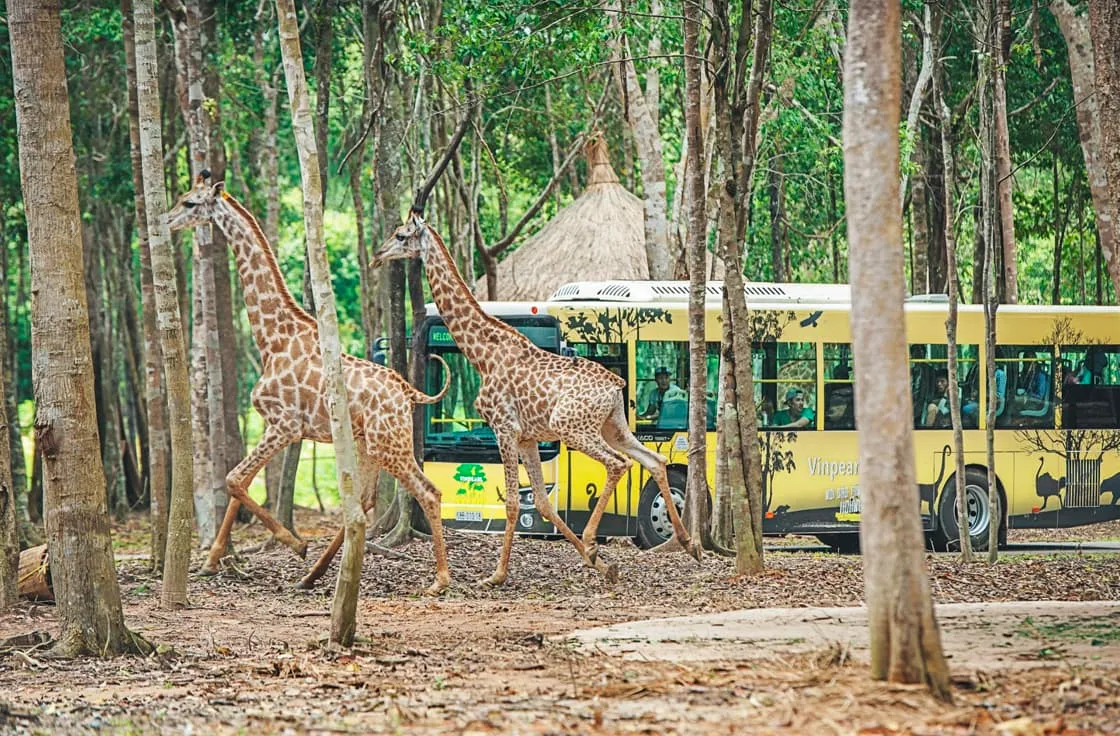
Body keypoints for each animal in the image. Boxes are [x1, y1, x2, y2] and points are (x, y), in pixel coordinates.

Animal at [164, 173, 450, 595]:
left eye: (189, 203)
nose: (166, 221)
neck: (272, 339)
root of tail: (407, 392)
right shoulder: (276, 426)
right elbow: (238, 482)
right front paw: (213, 560)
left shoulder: (285, 425)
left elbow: (234, 478)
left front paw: (295, 543)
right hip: (370, 444)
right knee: (366, 502)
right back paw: (312, 575)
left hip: (391, 444)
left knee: (428, 492)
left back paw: (440, 579)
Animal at [367, 208, 698, 587]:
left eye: (401, 235)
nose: (378, 255)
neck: (483, 355)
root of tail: (615, 384)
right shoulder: (527, 437)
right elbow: (540, 501)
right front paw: (600, 564)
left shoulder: (504, 428)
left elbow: (513, 502)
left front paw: (496, 575)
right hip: (613, 426)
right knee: (653, 460)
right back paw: (689, 543)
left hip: (572, 427)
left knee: (618, 463)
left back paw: (597, 540)